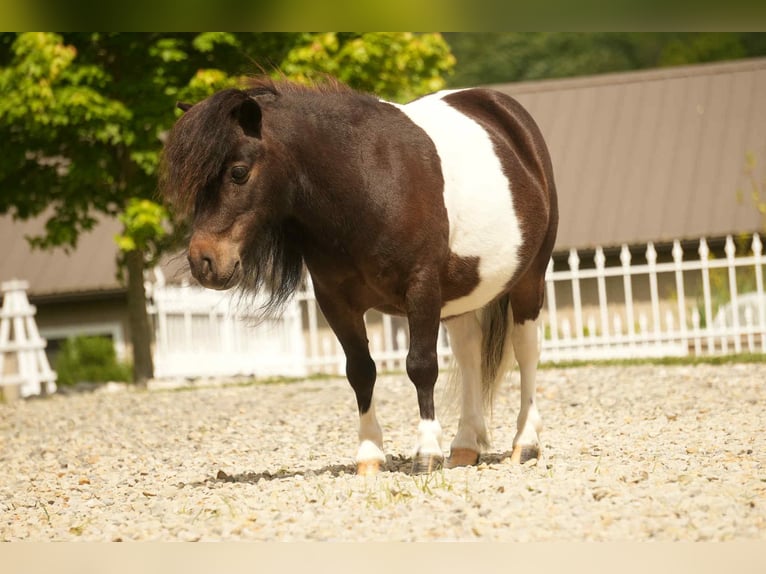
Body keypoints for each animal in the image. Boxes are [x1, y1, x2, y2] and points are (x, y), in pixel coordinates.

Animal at [160, 76, 558, 475]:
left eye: (238, 172)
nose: (203, 261)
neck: (367, 185)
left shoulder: (422, 288)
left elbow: (421, 365)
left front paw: (426, 451)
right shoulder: (335, 301)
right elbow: (360, 371)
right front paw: (369, 455)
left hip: (529, 279)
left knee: (526, 351)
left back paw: (525, 442)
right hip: (462, 296)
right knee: (468, 353)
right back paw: (464, 446)